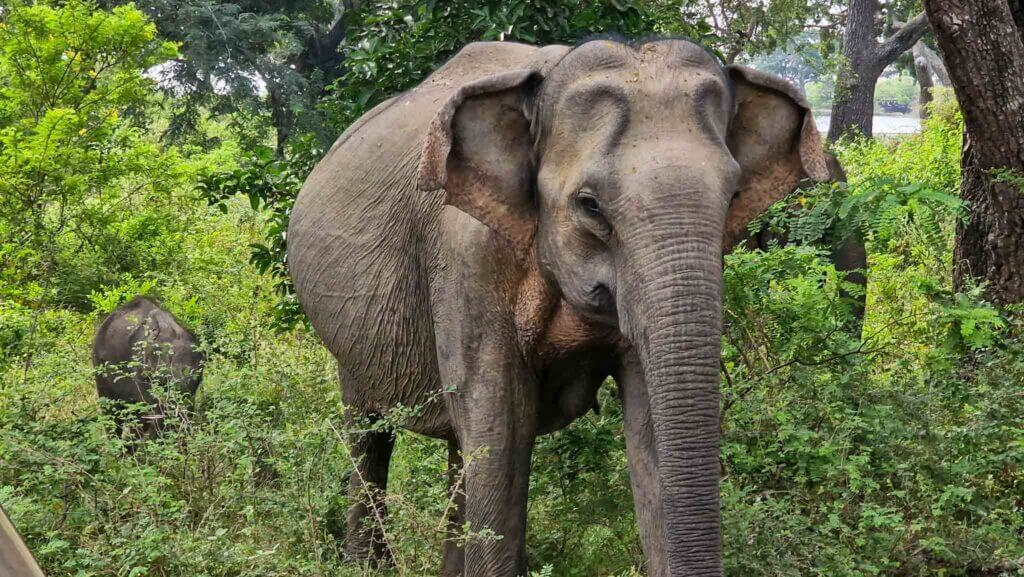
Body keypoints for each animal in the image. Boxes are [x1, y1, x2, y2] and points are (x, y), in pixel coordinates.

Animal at [288, 37, 827, 577]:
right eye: (590, 205)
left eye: (734, 196)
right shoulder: (466, 256)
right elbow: (501, 424)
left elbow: (646, 420)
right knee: (369, 428)